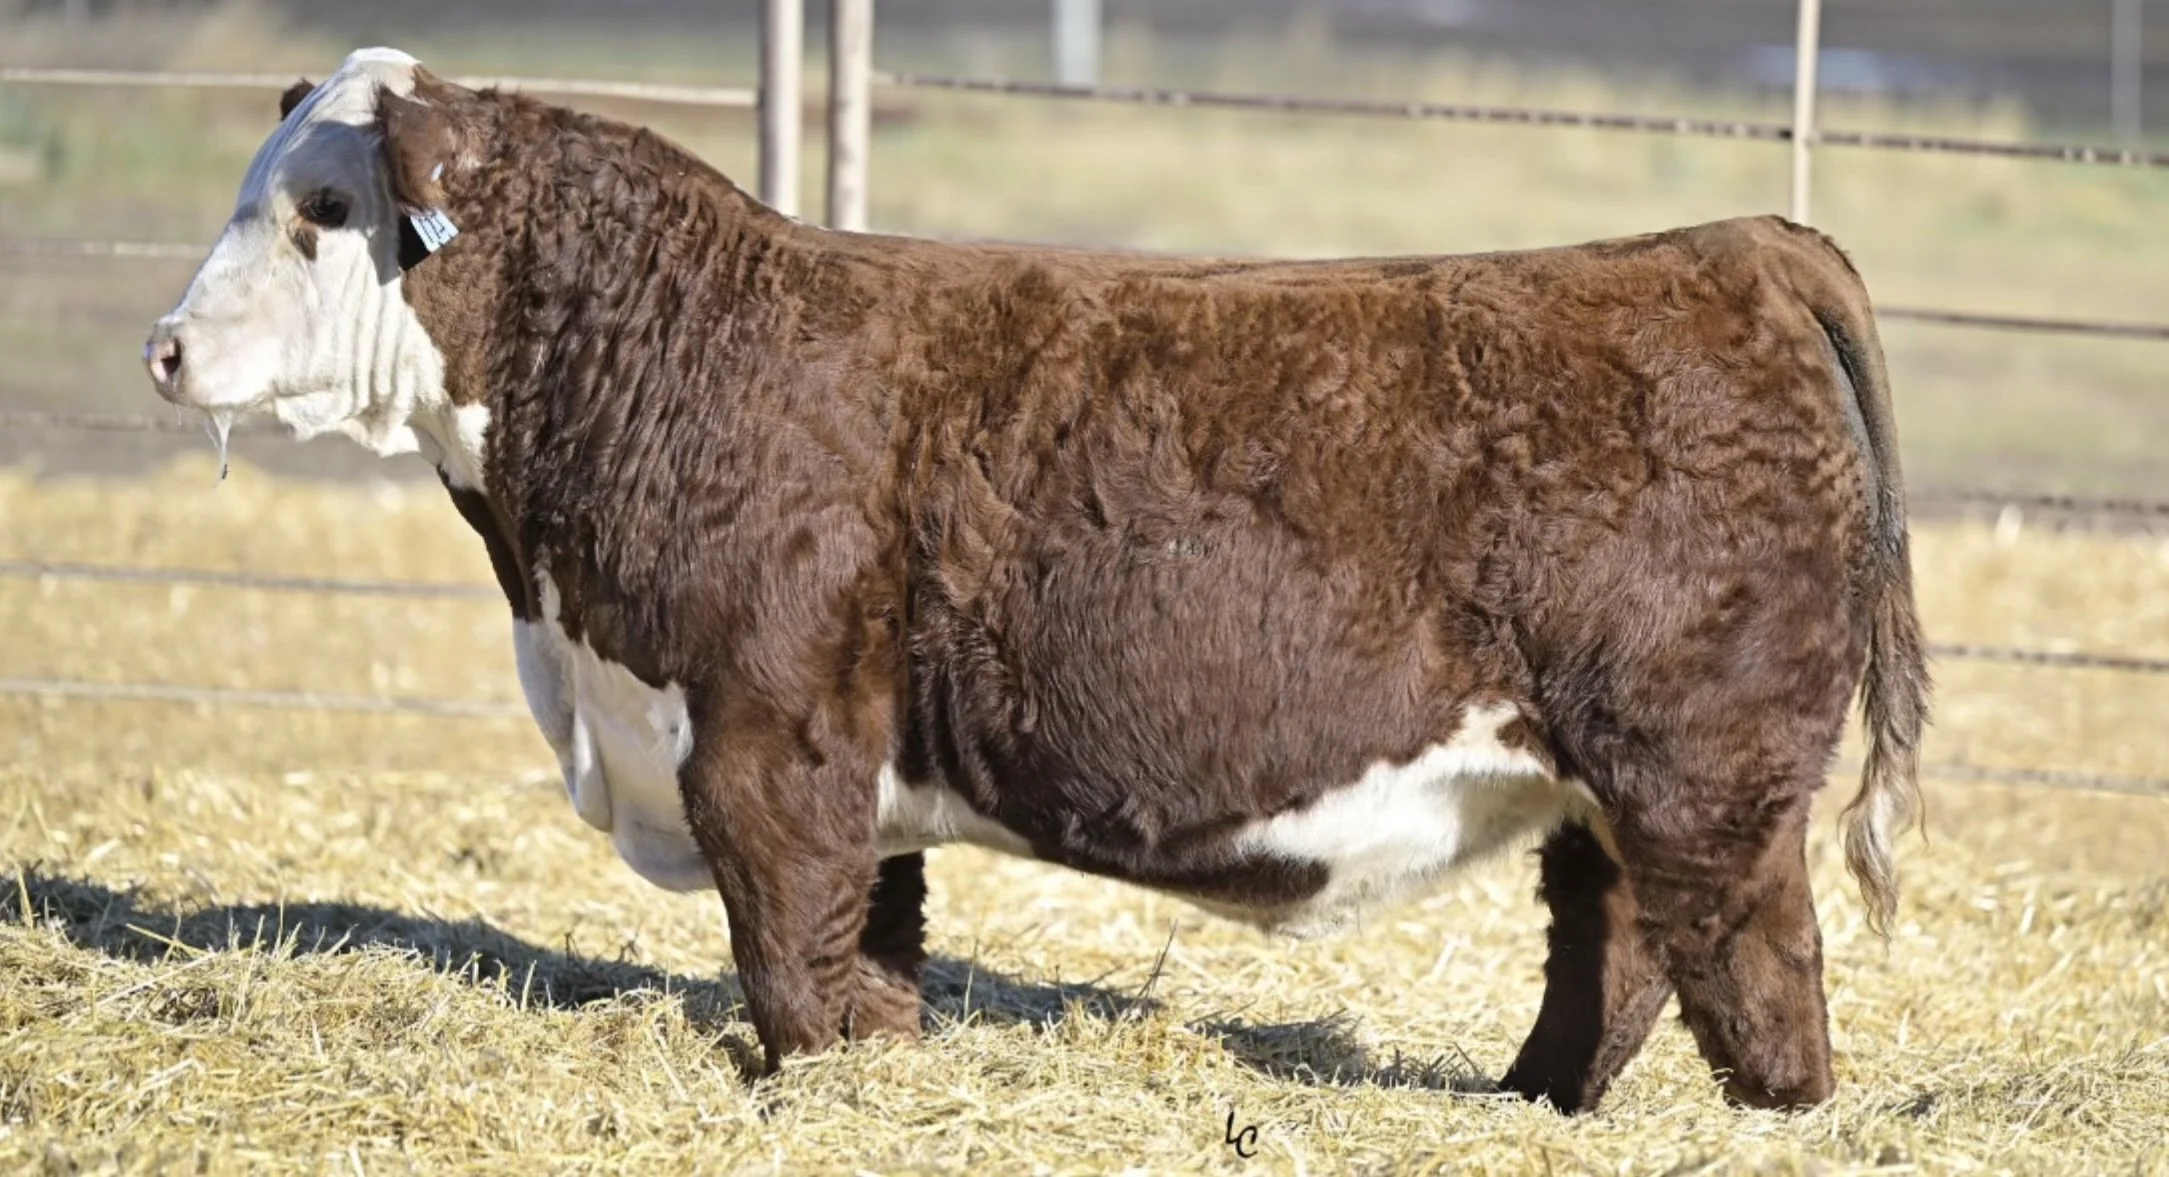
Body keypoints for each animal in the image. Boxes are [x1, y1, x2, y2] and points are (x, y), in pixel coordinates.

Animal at [143, 48, 1929, 1114]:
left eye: (322, 209)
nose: (162, 349)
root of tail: (1729, 247)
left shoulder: (764, 735)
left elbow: (786, 937)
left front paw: (811, 1085)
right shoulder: (845, 759)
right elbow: (868, 939)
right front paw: (882, 1071)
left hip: (1703, 770)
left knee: (1751, 959)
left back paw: (1772, 1113)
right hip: (1610, 784)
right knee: (1610, 949)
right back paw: (1532, 1102)